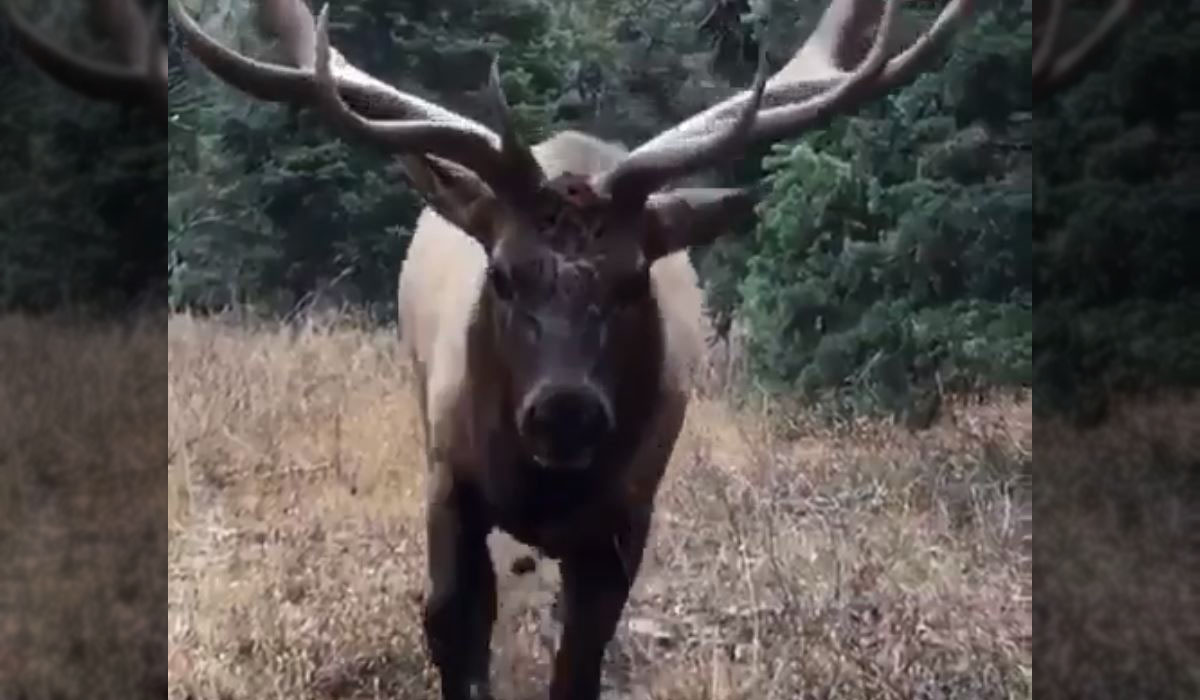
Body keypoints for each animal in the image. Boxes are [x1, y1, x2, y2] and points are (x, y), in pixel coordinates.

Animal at [169, 0, 969, 696]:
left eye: (633, 278)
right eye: (501, 273)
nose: (564, 410)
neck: (542, 492)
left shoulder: (627, 512)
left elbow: (580, 661)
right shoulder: (448, 476)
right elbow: (451, 629)